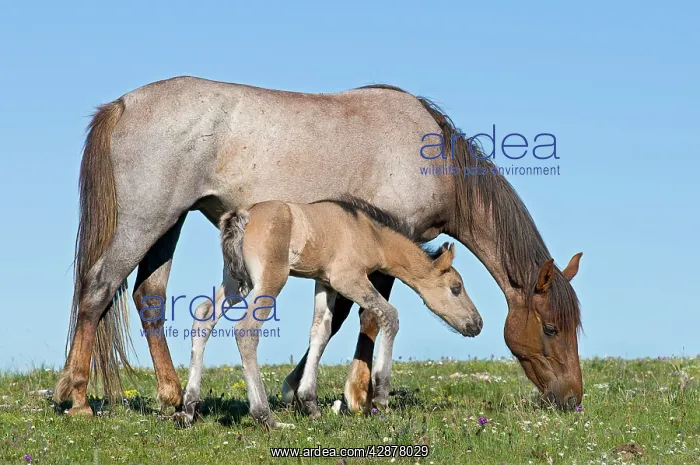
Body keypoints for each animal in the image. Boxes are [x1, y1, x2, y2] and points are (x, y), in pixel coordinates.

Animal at [173, 196, 483, 427]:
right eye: (456, 288)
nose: (477, 323)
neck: (369, 232)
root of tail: (243, 216)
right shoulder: (348, 280)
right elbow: (389, 315)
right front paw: (381, 395)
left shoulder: (324, 283)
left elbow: (321, 331)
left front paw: (309, 403)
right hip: (269, 281)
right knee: (246, 331)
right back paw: (266, 417)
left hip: (234, 282)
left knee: (203, 315)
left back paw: (188, 408)